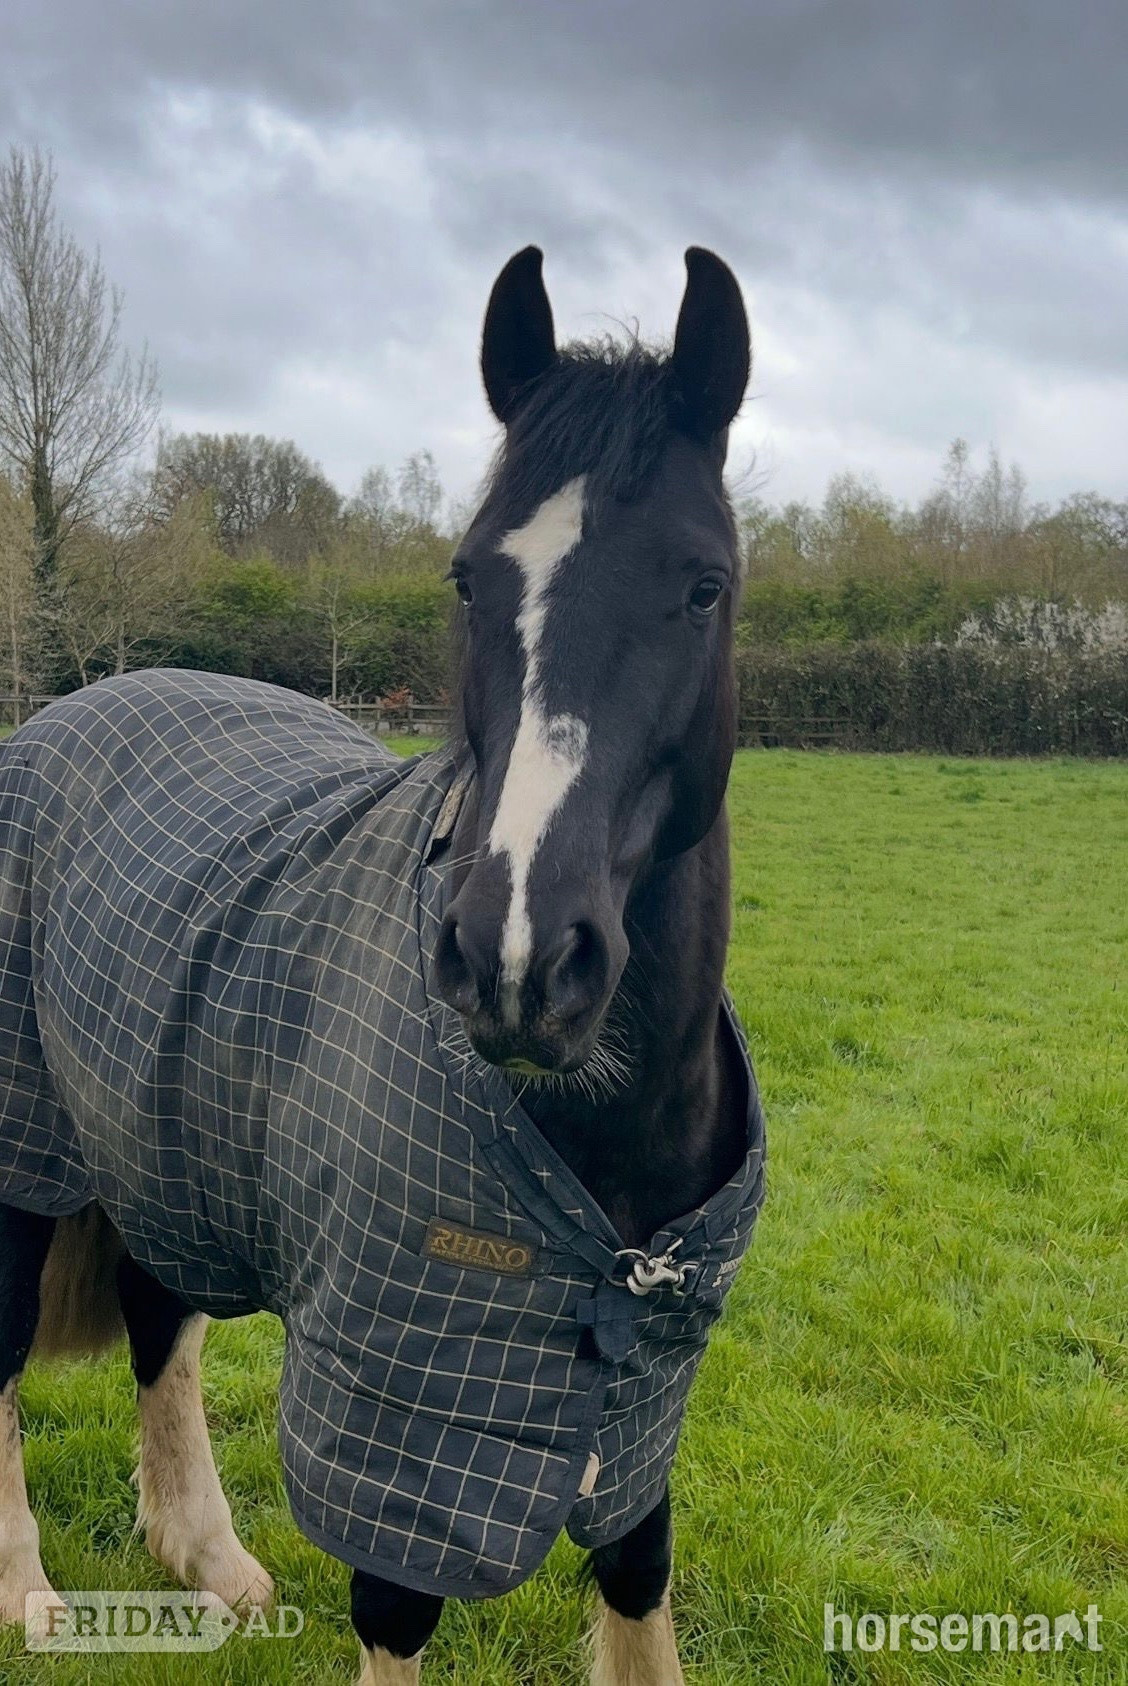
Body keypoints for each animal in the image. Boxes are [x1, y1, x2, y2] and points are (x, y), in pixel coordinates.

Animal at [0, 245, 764, 1683]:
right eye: (469, 578)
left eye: (705, 583)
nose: (518, 953)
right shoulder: (399, 1413)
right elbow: (399, 1608)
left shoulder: (644, 1398)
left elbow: (637, 1567)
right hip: (23, 1164)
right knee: (1, 1354)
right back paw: (24, 1590)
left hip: (162, 1142)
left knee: (155, 1316)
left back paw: (211, 1561)